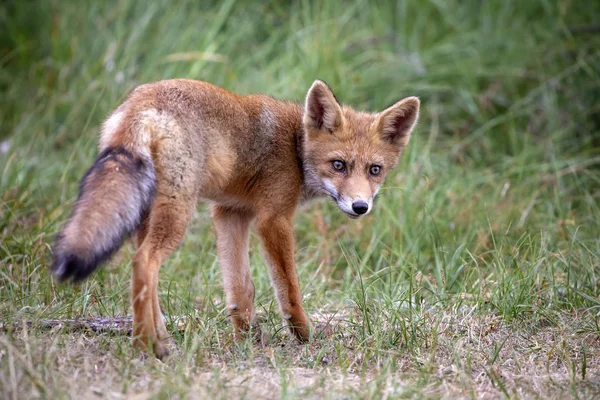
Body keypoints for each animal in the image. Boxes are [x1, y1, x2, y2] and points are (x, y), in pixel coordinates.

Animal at [50, 79, 418, 360]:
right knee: (143, 262)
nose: (360, 206)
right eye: (338, 165)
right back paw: (146, 346)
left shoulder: (230, 213)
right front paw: (303, 335)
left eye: (375, 170)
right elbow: (289, 288)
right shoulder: (273, 220)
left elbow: (241, 288)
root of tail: (141, 103)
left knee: (146, 274)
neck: (294, 149)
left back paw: (161, 338)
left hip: (147, 213)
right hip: (178, 211)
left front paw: (246, 339)